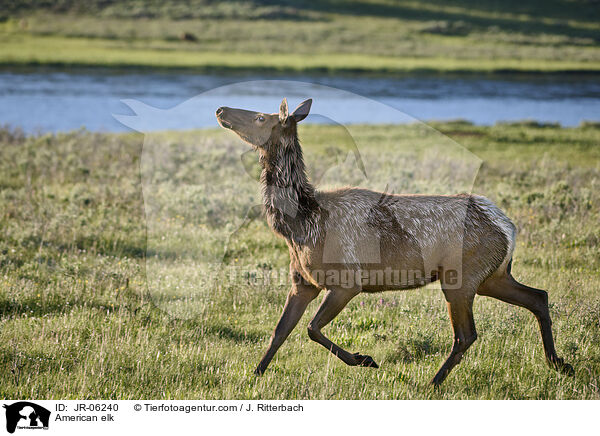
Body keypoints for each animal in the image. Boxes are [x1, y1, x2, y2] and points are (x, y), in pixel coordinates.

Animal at [214, 98, 572, 384]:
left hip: (461, 277)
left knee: (466, 335)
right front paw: (254, 374)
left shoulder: (348, 280)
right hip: (491, 276)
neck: (301, 224)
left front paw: (365, 359)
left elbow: (311, 328)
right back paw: (559, 363)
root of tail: (508, 227)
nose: (221, 110)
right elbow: (279, 332)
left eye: (261, 117)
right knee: (538, 296)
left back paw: (433, 384)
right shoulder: (303, 281)